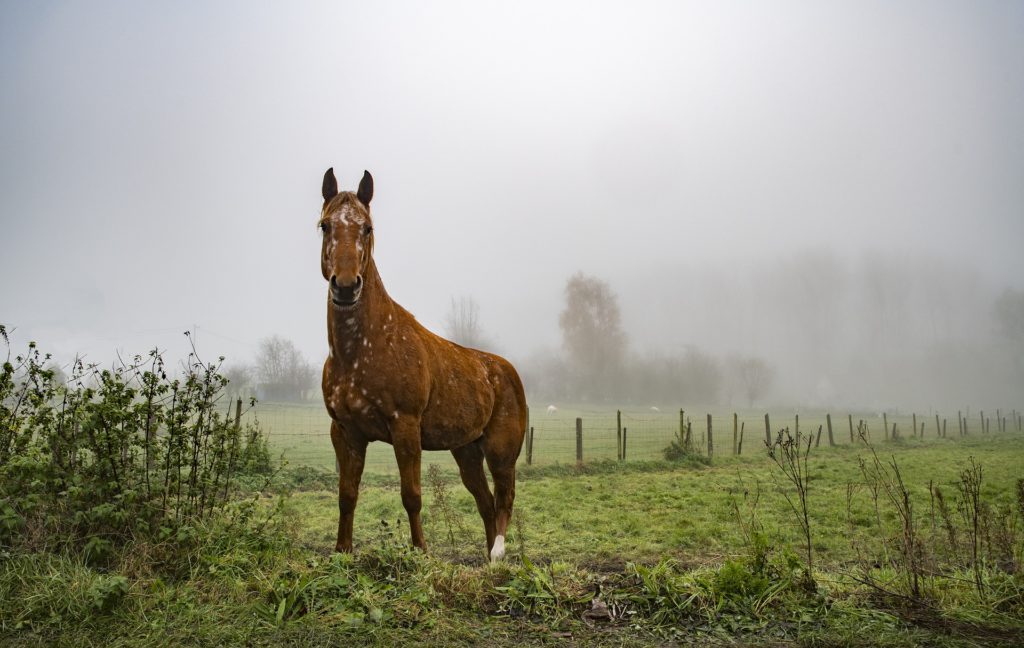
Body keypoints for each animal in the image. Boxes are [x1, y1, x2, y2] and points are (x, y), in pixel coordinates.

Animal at [317, 166, 528, 560]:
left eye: (367, 228)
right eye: (325, 225)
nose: (346, 287)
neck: (360, 352)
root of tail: (507, 371)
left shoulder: (406, 427)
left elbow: (411, 495)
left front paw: (420, 553)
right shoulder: (346, 432)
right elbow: (346, 495)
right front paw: (342, 552)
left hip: (501, 451)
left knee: (505, 498)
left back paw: (497, 555)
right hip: (466, 452)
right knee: (486, 503)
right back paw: (487, 560)